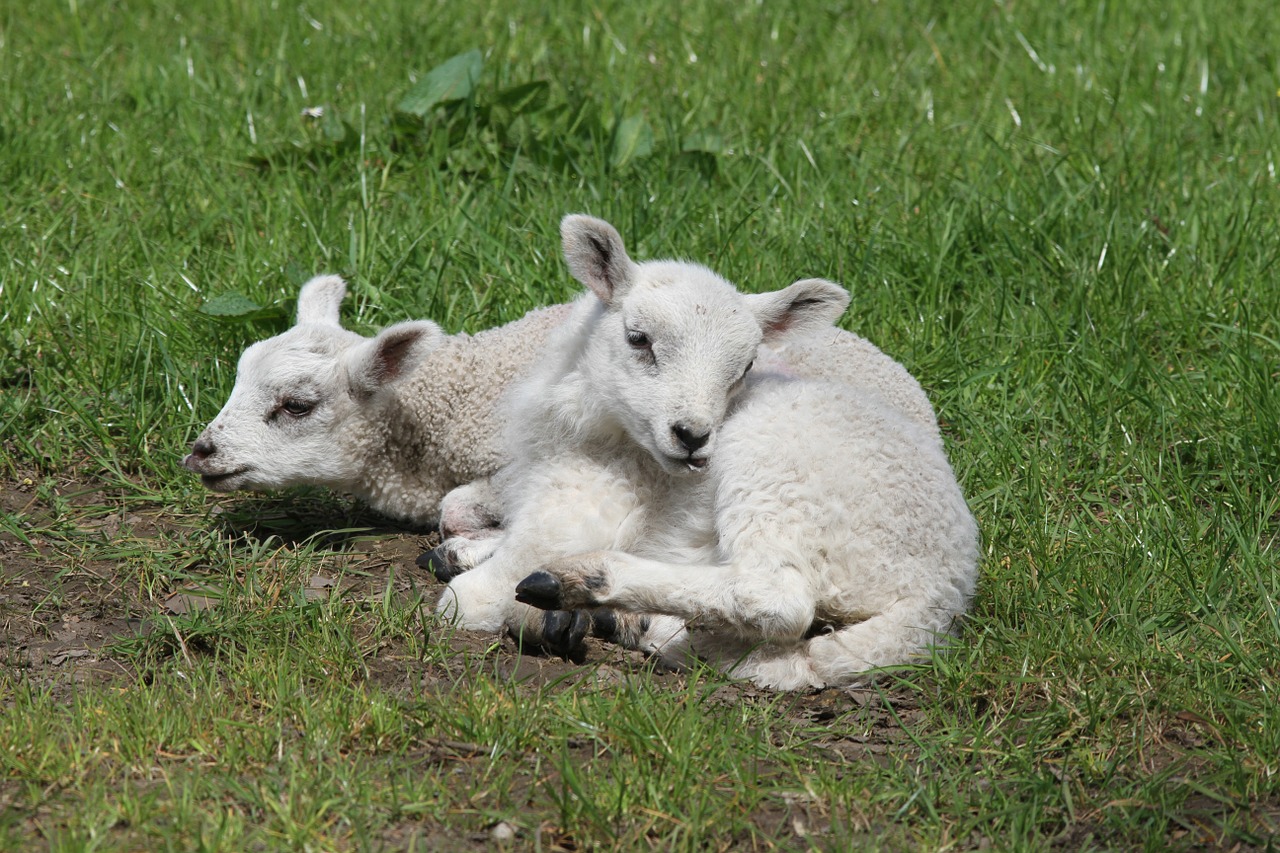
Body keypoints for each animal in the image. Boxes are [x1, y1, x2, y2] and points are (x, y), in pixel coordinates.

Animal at [435, 216, 972, 686]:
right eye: (638, 339)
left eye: (746, 365)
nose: (693, 435)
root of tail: (939, 594)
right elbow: (458, 506)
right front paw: (465, 548)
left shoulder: (591, 497)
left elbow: (503, 570)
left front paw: (476, 588)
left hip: (778, 474)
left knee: (775, 599)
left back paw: (585, 585)